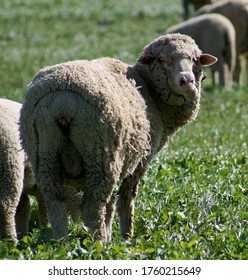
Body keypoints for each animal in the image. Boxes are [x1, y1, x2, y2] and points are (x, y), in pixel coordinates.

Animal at [19, 33, 217, 243]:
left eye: (195, 59)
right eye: (162, 59)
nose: (187, 81)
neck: (149, 90)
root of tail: (62, 102)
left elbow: (110, 204)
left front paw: (111, 235)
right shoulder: (140, 161)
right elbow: (126, 199)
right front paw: (126, 237)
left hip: (44, 155)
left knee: (56, 202)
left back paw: (61, 242)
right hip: (100, 155)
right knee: (92, 205)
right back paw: (98, 243)